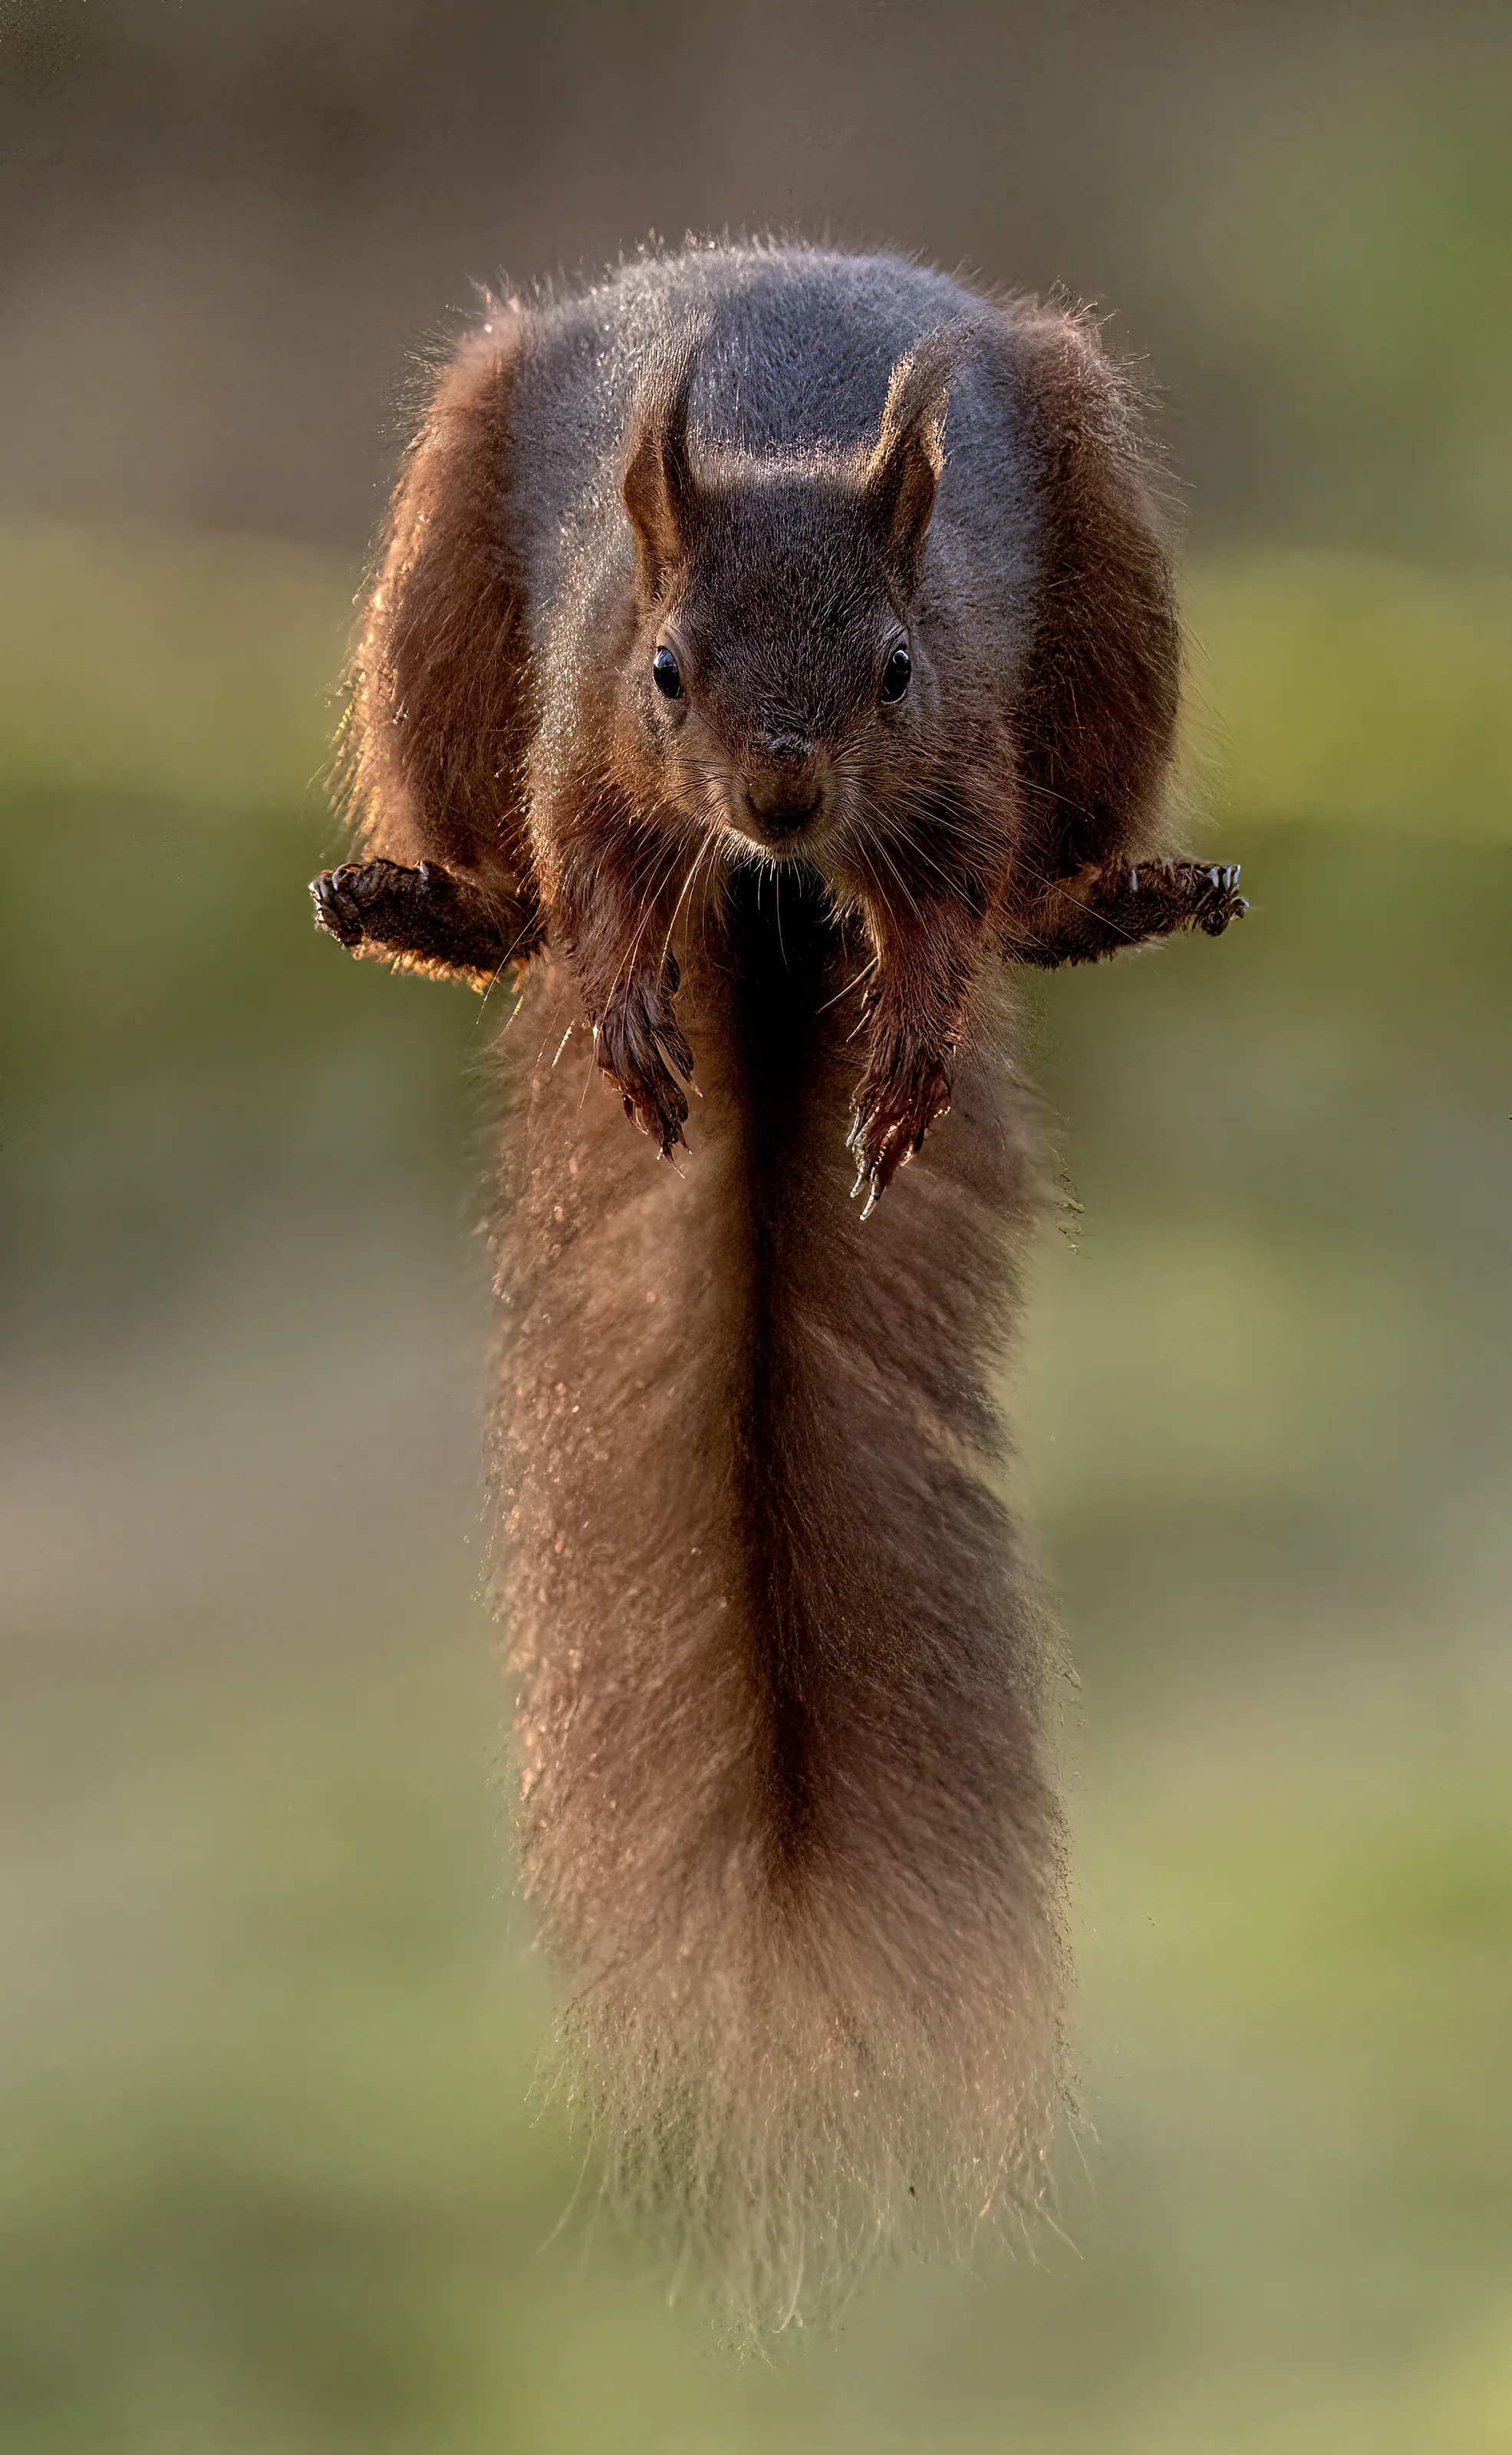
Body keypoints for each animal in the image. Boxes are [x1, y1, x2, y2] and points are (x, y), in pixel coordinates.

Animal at [311, 242, 1244, 2328]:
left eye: (891, 668)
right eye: (668, 669)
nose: (784, 790)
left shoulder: (960, 756)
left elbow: (955, 895)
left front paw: (903, 1054)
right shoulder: (583, 732)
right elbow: (589, 867)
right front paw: (624, 1007)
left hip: (1109, 605)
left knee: (1044, 876)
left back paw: (1110, 897)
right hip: (436, 603)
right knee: (501, 874)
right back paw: (438, 907)